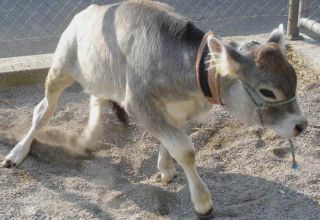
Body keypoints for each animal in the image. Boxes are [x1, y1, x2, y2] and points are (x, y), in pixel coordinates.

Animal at [1, 0, 308, 217]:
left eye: (294, 79)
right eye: (267, 91)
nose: (301, 125)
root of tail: (89, 11)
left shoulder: (178, 110)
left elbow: (170, 142)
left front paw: (166, 169)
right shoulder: (139, 104)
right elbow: (185, 150)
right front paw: (203, 202)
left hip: (101, 74)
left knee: (96, 98)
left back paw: (88, 137)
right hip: (61, 67)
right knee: (43, 110)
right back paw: (17, 153)